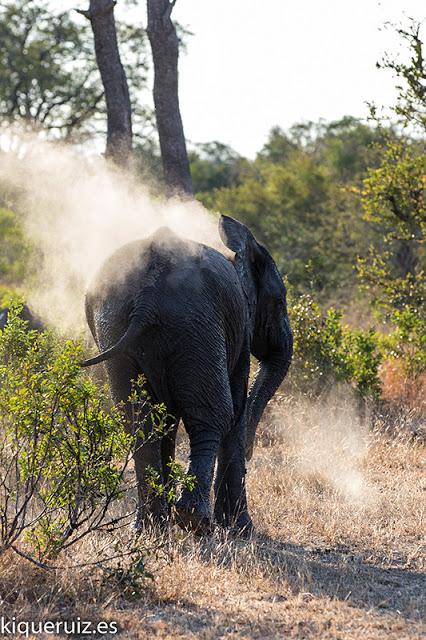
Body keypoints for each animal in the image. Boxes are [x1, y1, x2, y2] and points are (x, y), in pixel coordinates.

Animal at [82, 215, 293, 535]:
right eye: (280, 301)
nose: (252, 452)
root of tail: (148, 291)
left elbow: (166, 420)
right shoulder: (239, 330)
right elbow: (236, 409)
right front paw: (241, 530)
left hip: (116, 326)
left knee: (138, 422)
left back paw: (149, 527)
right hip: (197, 324)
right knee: (216, 415)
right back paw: (194, 520)